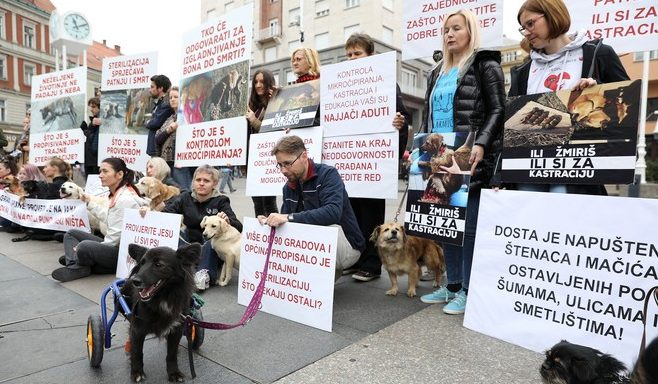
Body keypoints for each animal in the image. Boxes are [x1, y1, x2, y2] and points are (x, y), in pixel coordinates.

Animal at [121, 244, 200, 382]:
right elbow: (137, 352)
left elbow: (171, 354)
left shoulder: (176, 329)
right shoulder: (137, 329)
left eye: (158, 264)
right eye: (142, 263)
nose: (135, 281)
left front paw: (174, 373)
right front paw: (136, 372)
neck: (163, 298)